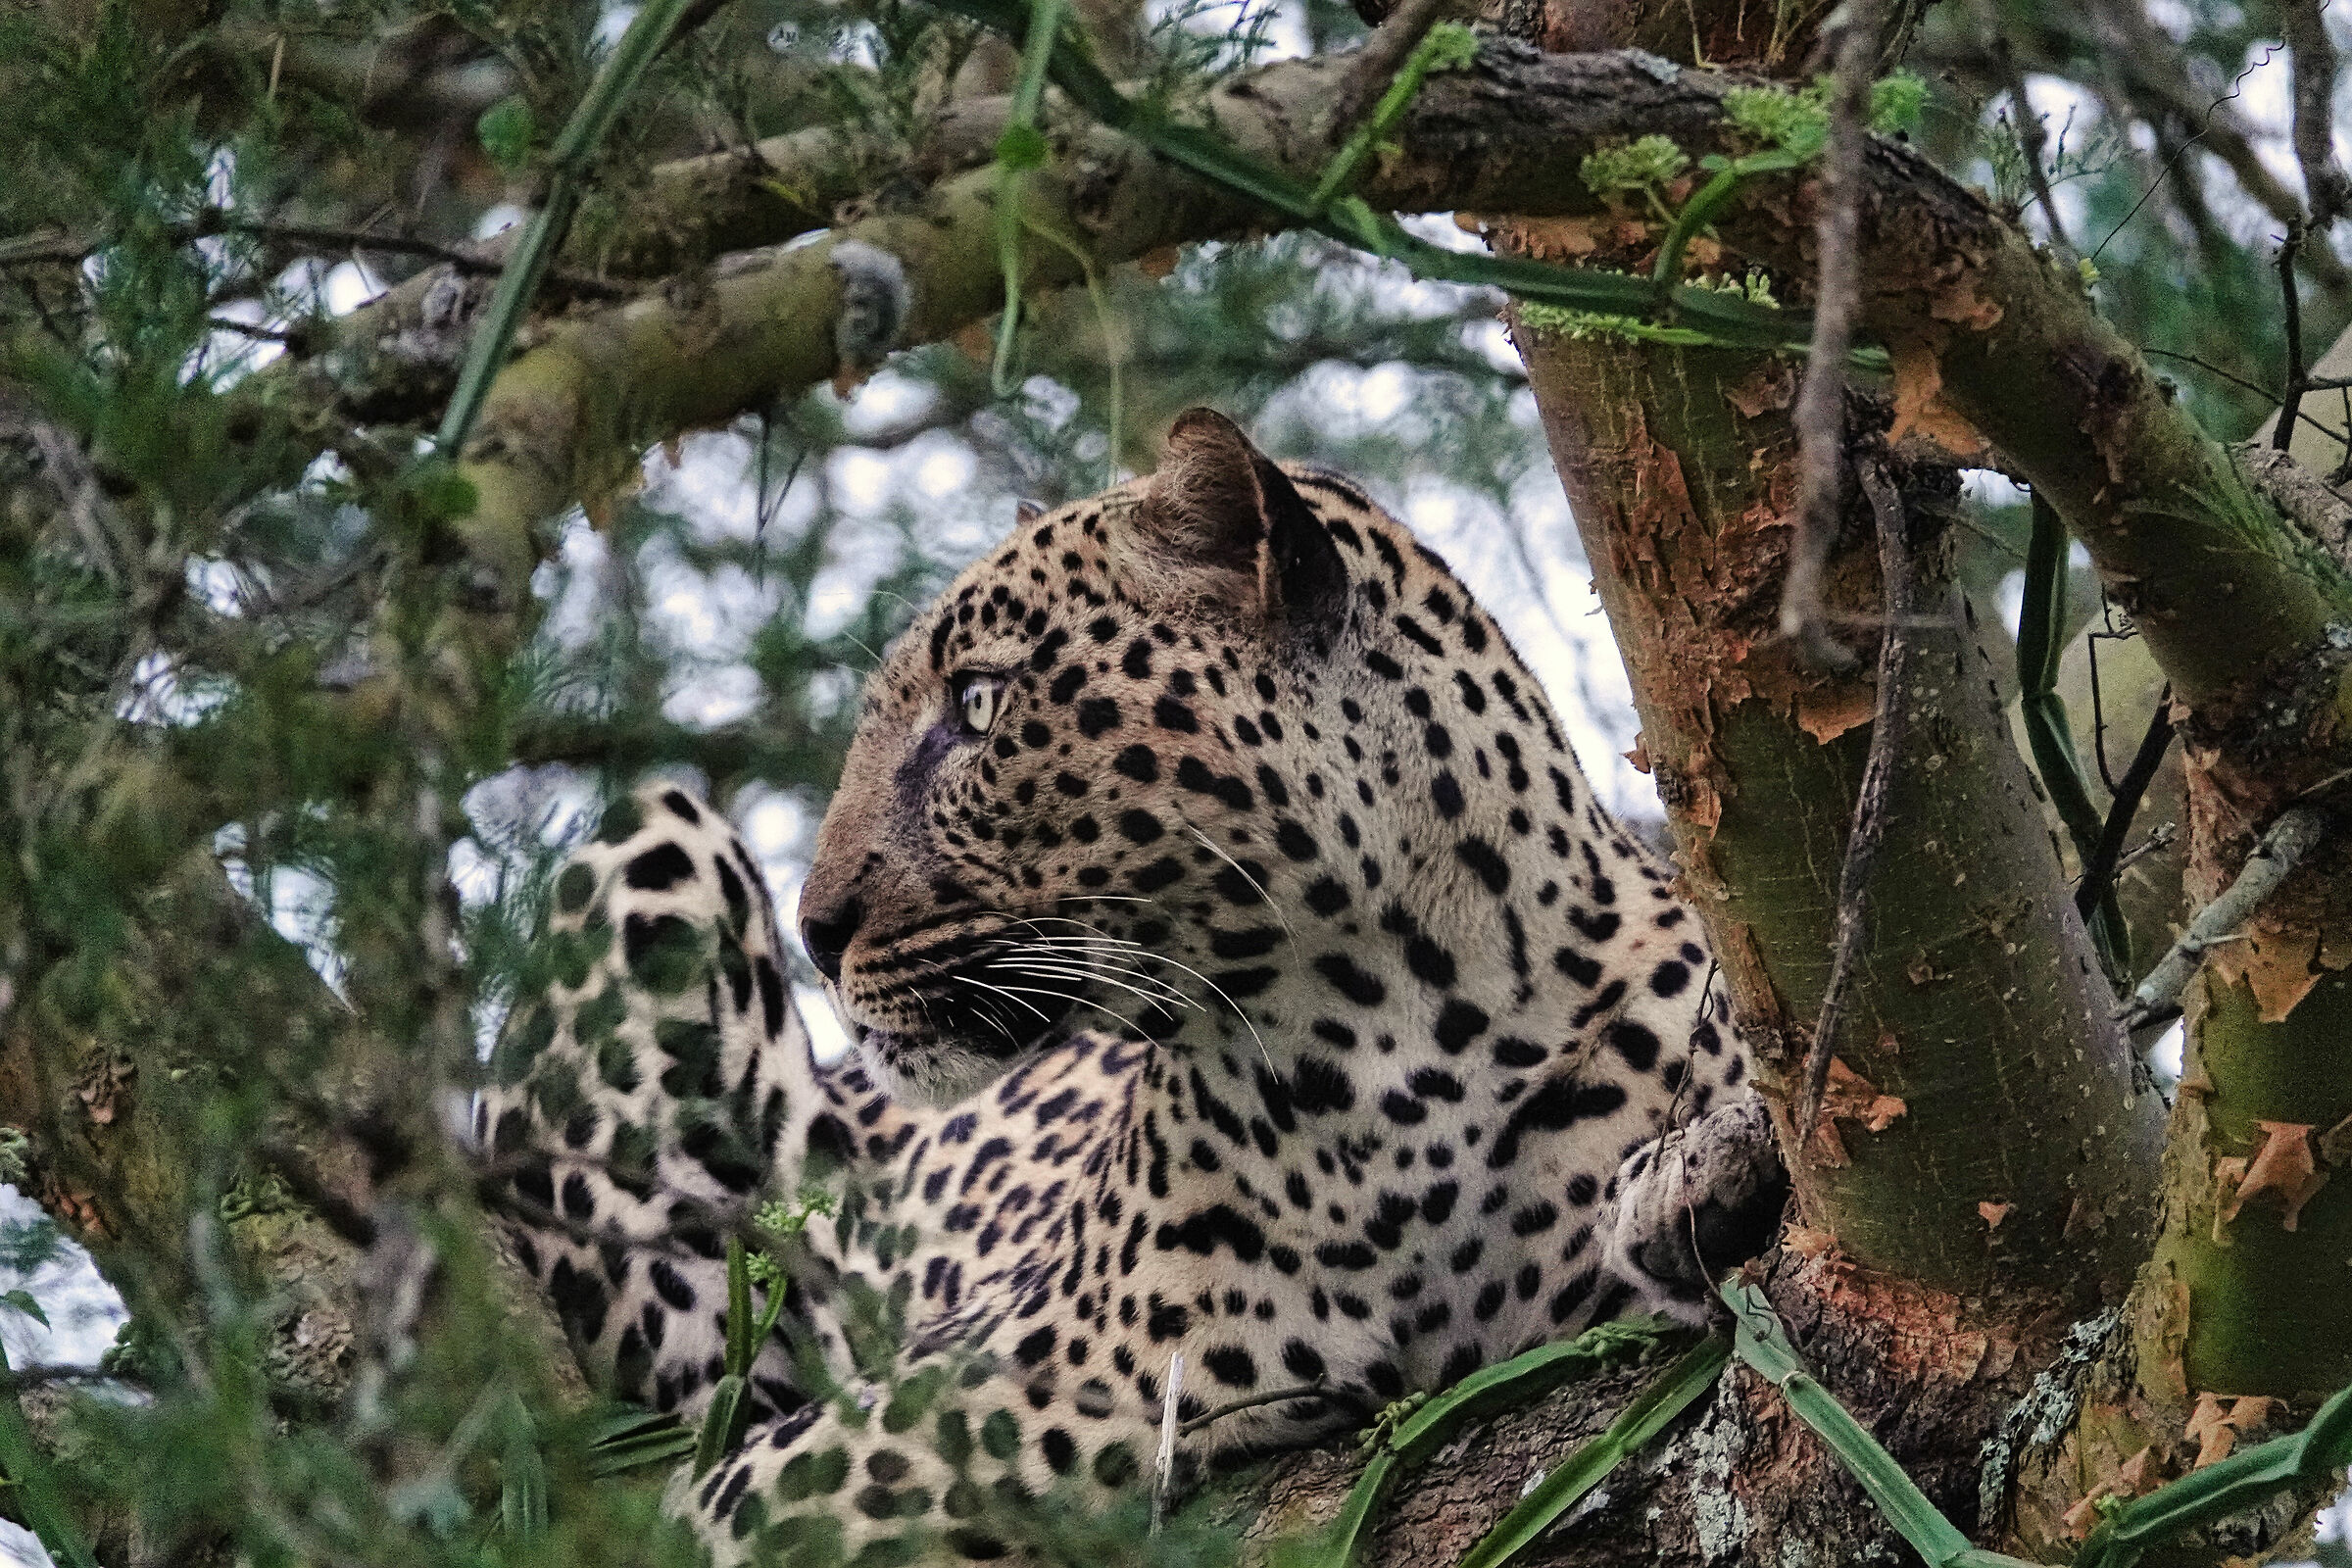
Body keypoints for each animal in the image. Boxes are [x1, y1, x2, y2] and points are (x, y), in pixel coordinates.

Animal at [474, 408, 1785, 1565]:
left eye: (979, 705)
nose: (816, 929)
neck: (1388, 1050)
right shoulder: (899, 1420)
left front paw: (1695, 1191)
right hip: (647, 848)